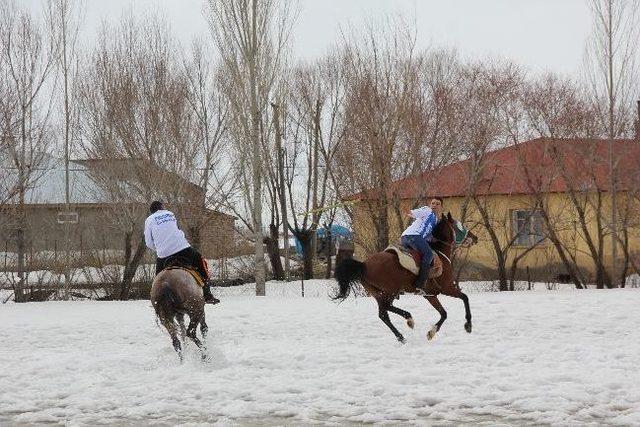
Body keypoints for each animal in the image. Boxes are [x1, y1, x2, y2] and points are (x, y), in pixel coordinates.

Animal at [336, 214, 476, 344]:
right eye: (460, 225)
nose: (475, 237)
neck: (440, 254)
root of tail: (363, 265)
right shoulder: (447, 288)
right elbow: (464, 298)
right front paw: (468, 325)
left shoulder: (430, 295)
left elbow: (444, 313)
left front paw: (432, 332)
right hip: (391, 291)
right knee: (386, 308)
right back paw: (409, 319)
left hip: (378, 293)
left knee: (383, 313)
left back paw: (401, 336)